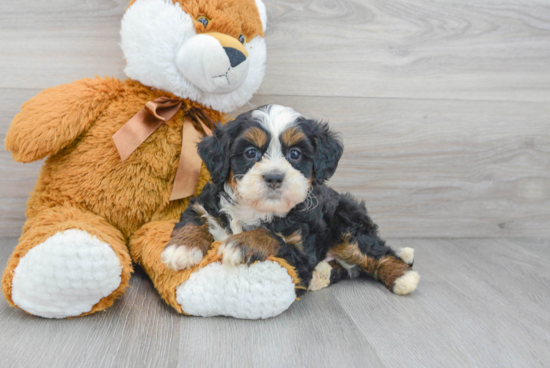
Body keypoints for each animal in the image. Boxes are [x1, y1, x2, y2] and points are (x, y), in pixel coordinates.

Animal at [162, 103, 420, 296]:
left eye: (295, 154)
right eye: (251, 153)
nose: (274, 177)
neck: (258, 210)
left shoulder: (302, 254)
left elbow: (273, 237)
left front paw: (242, 243)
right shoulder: (205, 204)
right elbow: (194, 219)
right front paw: (181, 248)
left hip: (346, 222)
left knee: (372, 251)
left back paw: (403, 276)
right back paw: (322, 275)